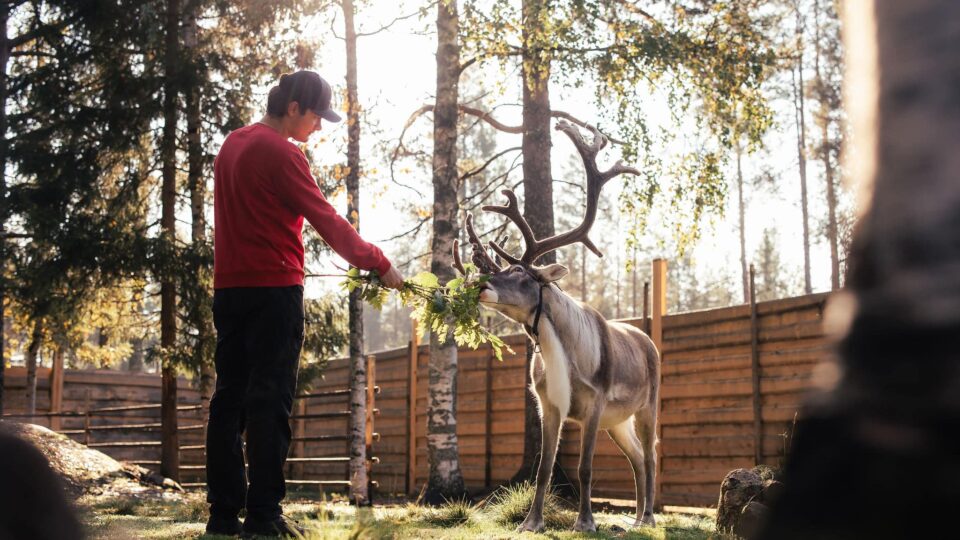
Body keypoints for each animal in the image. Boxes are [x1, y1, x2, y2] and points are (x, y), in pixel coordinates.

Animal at [452, 120, 661, 533]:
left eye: (520, 272)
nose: (478, 285)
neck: (563, 352)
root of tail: (647, 340)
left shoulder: (596, 403)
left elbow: (584, 468)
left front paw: (586, 522)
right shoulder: (547, 405)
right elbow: (543, 470)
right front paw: (530, 523)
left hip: (648, 405)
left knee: (650, 455)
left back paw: (646, 518)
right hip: (618, 421)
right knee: (635, 457)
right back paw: (633, 518)